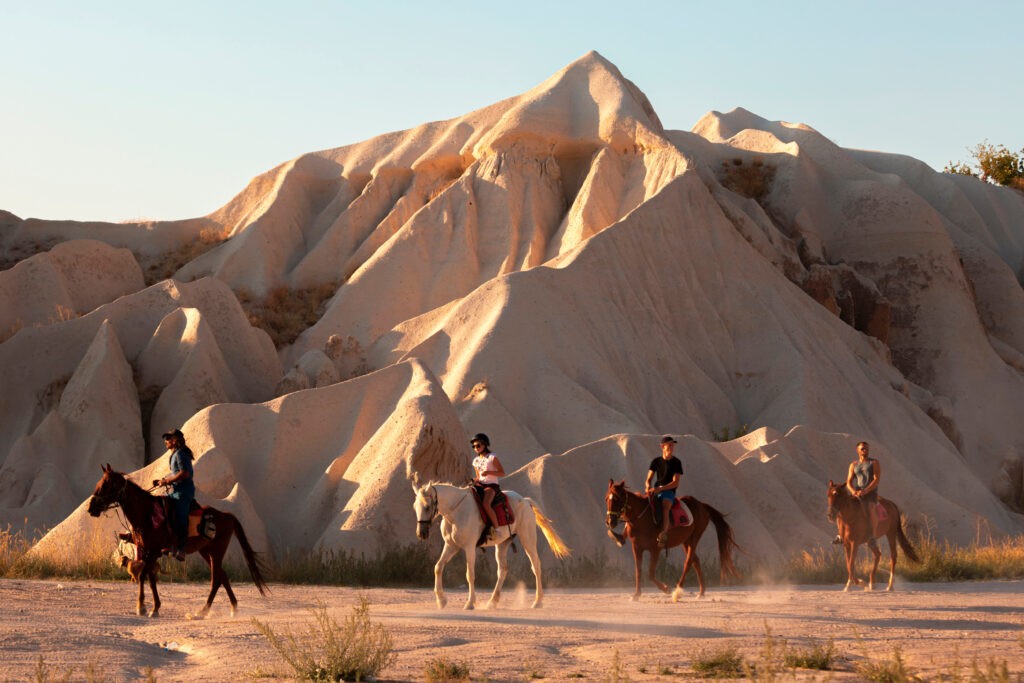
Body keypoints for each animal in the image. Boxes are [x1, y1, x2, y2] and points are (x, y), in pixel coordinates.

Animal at [88, 464, 270, 618]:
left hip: (217, 550)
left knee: (216, 579)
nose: (91, 508)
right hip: (206, 551)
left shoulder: (154, 551)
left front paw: (145, 607)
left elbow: (143, 575)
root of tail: (226, 515)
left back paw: (203, 611)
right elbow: (149, 577)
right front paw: (151, 607)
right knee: (223, 576)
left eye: (106, 485)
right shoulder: (148, 551)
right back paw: (233, 608)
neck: (147, 514)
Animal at [411, 483, 573, 610]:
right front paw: (441, 600)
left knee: (536, 566)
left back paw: (537, 601)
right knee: (502, 570)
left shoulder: (469, 547)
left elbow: (470, 575)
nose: (421, 533)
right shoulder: (451, 546)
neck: (456, 510)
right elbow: (438, 567)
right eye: (415, 507)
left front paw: (470, 603)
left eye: (427, 507)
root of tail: (525, 501)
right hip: (502, 544)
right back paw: (492, 601)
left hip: (528, 540)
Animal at [602, 479, 741, 602]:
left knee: (688, 561)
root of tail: (702, 505)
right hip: (685, 540)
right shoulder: (636, 548)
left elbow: (650, 574)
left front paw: (666, 589)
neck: (642, 518)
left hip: (695, 537)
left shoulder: (655, 549)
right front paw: (636, 595)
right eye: (606, 499)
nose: (609, 522)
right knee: (695, 561)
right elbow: (638, 571)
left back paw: (677, 591)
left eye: (616, 499)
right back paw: (701, 592)